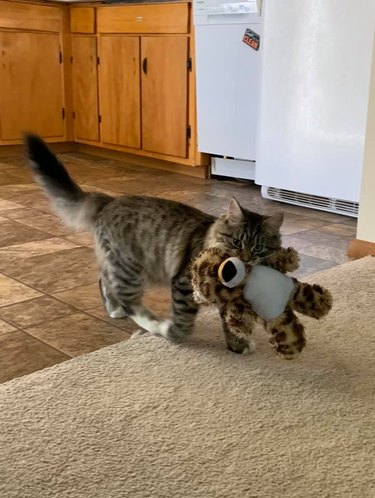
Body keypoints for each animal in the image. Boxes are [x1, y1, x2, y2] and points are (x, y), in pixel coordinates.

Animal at [25, 134, 286, 352]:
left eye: (258, 248)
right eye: (236, 242)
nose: (244, 259)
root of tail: (110, 200)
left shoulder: (228, 301)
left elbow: (231, 324)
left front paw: (237, 346)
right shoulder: (183, 282)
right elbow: (184, 320)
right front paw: (174, 334)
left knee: (105, 279)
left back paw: (115, 310)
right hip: (132, 268)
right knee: (127, 298)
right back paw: (153, 324)